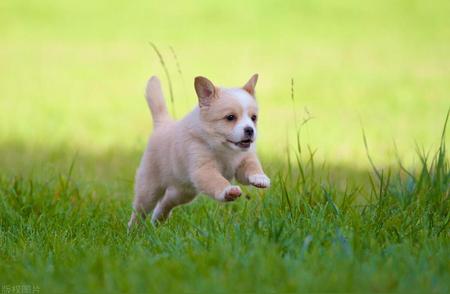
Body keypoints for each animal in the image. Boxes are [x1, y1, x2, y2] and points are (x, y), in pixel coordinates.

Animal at [128, 74, 272, 227]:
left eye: (254, 118)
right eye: (230, 117)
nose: (250, 130)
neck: (225, 149)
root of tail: (162, 124)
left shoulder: (244, 161)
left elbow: (252, 166)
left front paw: (260, 177)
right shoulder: (203, 170)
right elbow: (217, 181)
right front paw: (228, 190)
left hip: (183, 192)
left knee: (166, 202)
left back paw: (156, 220)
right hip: (149, 189)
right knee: (139, 210)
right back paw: (133, 229)